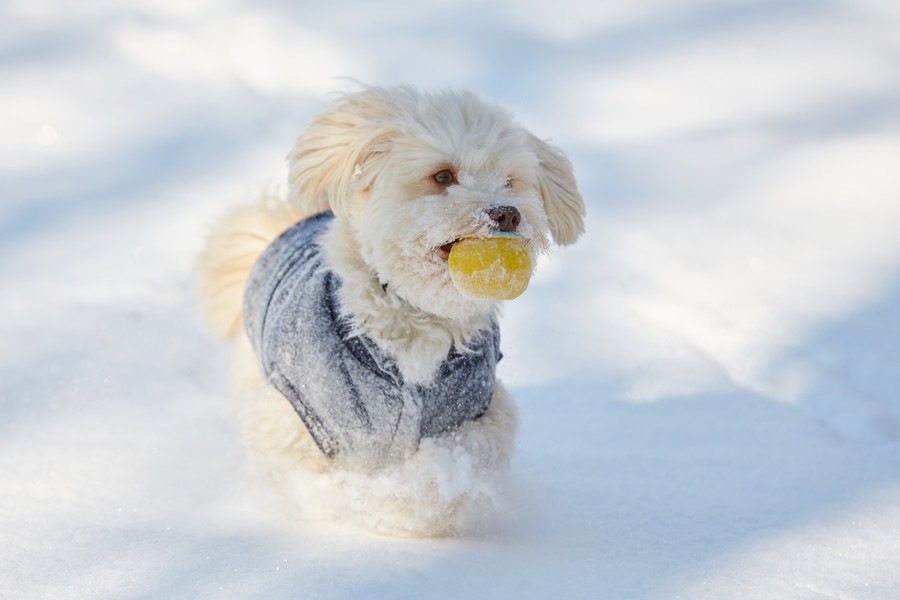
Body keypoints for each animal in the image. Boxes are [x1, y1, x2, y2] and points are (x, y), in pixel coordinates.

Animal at [200, 83, 588, 536]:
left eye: (511, 181)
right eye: (443, 176)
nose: (507, 213)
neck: (415, 315)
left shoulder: (479, 416)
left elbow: (451, 469)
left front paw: (415, 500)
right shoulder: (295, 417)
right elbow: (318, 480)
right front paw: (378, 507)